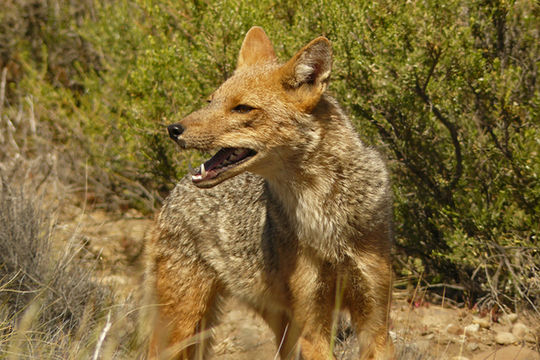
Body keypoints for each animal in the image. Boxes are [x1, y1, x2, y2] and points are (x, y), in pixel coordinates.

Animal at [146, 26, 394, 360]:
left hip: (280, 325)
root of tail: (175, 189)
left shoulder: (375, 323)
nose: (173, 129)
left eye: (242, 108)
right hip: (182, 323)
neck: (325, 217)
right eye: (211, 101)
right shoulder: (314, 325)